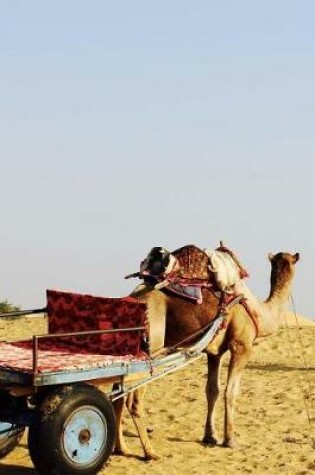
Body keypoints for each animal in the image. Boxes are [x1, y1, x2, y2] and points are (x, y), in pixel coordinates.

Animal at [112, 251, 300, 460]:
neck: (259, 312)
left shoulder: (214, 352)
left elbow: (212, 390)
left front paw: (210, 436)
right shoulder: (242, 346)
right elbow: (230, 391)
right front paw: (230, 440)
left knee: (118, 394)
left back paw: (121, 448)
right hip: (151, 347)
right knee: (133, 401)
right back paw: (149, 452)